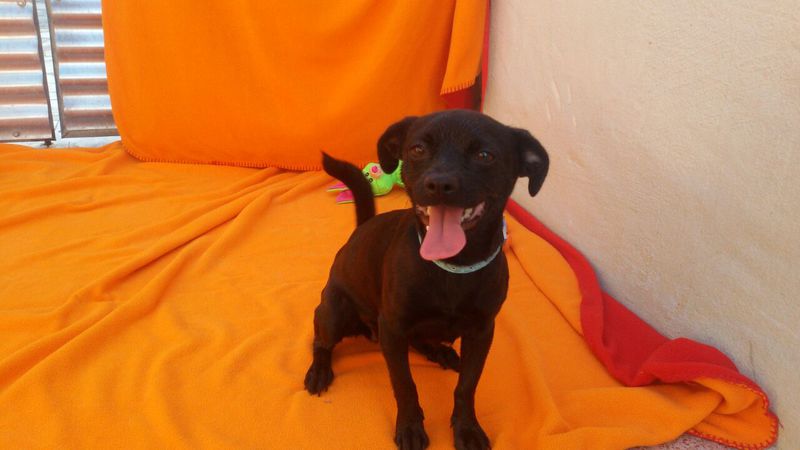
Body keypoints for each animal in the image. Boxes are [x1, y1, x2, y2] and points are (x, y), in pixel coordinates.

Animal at [304, 110, 549, 450]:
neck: (452, 266)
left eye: (485, 155)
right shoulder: (393, 329)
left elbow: (466, 387)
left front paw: (467, 429)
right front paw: (410, 427)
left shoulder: (482, 332)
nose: (439, 184)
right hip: (334, 313)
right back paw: (319, 370)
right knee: (321, 341)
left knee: (422, 340)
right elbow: (405, 384)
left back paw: (440, 351)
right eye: (418, 149)